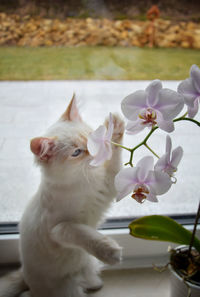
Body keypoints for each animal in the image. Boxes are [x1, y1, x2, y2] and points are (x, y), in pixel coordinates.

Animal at [0, 95, 124, 296]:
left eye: (91, 137)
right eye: (76, 152)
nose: (95, 151)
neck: (81, 181)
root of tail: (26, 277)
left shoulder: (107, 186)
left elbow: (114, 159)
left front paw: (116, 127)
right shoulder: (57, 229)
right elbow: (81, 232)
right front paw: (110, 252)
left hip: (87, 265)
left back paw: (95, 284)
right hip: (65, 289)